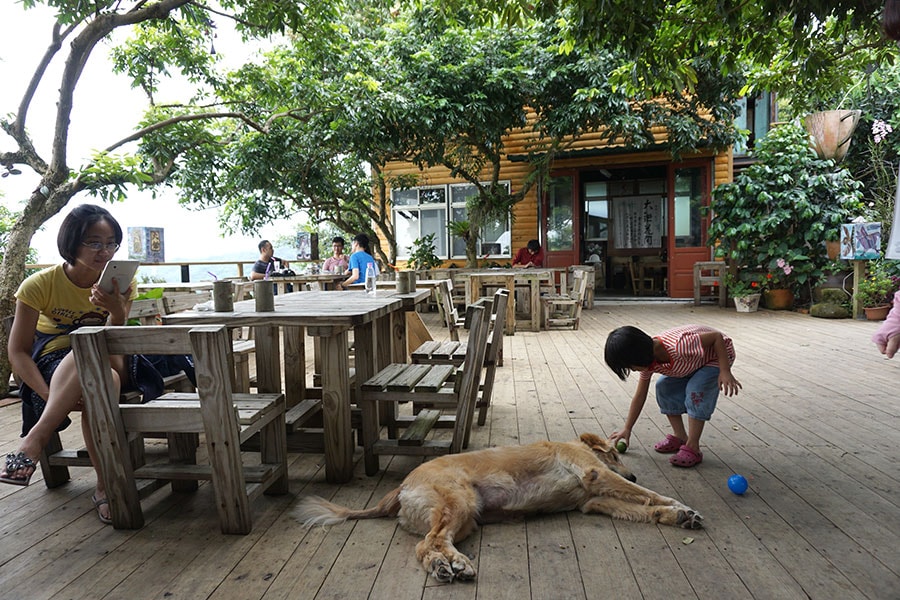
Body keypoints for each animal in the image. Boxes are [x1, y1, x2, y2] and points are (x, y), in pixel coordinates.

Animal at [296, 434, 704, 584]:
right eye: (615, 454)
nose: (630, 469)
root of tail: (400, 487)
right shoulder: (595, 473)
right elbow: (648, 493)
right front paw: (677, 504)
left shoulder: (593, 501)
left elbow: (643, 506)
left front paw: (678, 515)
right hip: (458, 504)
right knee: (427, 543)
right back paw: (451, 566)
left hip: (463, 519)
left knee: (431, 545)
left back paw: (448, 565)